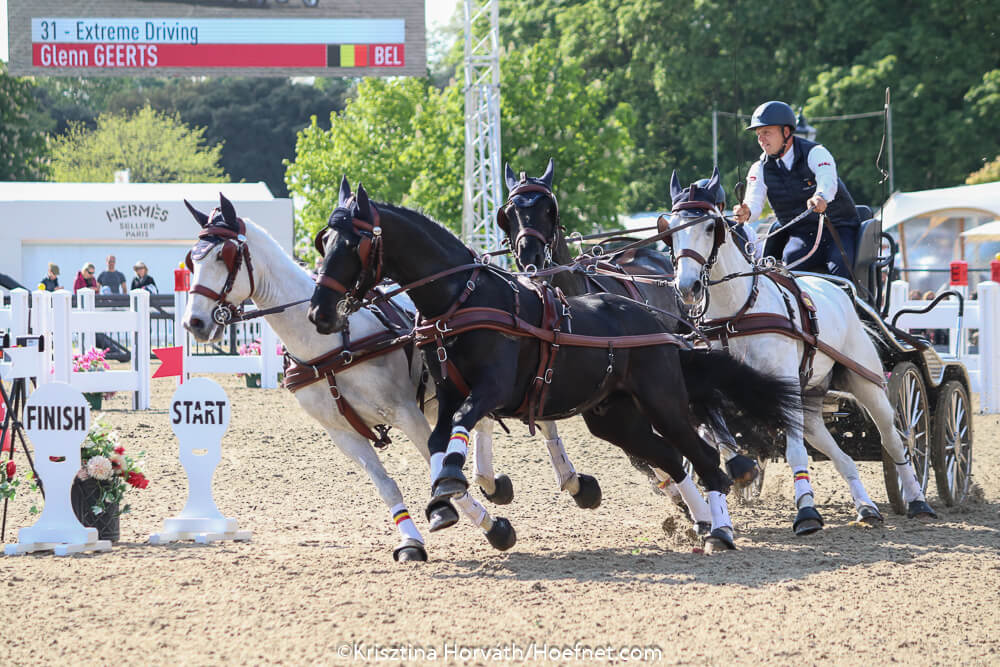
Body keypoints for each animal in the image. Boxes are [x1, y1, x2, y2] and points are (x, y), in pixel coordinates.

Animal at [181, 194, 523, 562]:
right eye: (192, 260)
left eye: (223, 255)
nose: (194, 322)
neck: (329, 347)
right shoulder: (343, 434)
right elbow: (388, 486)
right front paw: (411, 541)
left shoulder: (407, 413)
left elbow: (442, 469)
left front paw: (489, 525)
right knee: (480, 423)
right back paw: (491, 482)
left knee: (481, 422)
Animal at [308, 179, 802, 551]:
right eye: (323, 242)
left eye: (353, 243)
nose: (319, 313)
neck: (462, 299)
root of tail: (658, 324)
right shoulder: (448, 392)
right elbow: (437, 438)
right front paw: (444, 499)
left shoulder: (491, 389)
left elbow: (464, 423)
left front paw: (451, 484)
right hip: (614, 417)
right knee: (671, 459)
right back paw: (703, 522)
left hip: (662, 402)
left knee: (703, 456)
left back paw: (721, 529)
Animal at [666, 168, 936, 533]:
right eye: (669, 229)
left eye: (710, 227)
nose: (687, 286)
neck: (737, 313)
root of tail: (841, 290)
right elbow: (716, 435)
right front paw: (740, 471)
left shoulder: (786, 384)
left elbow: (796, 453)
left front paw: (806, 511)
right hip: (811, 401)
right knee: (842, 455)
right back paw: (866, 508)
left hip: (866, 383)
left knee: (895, 439)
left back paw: (917, 500)